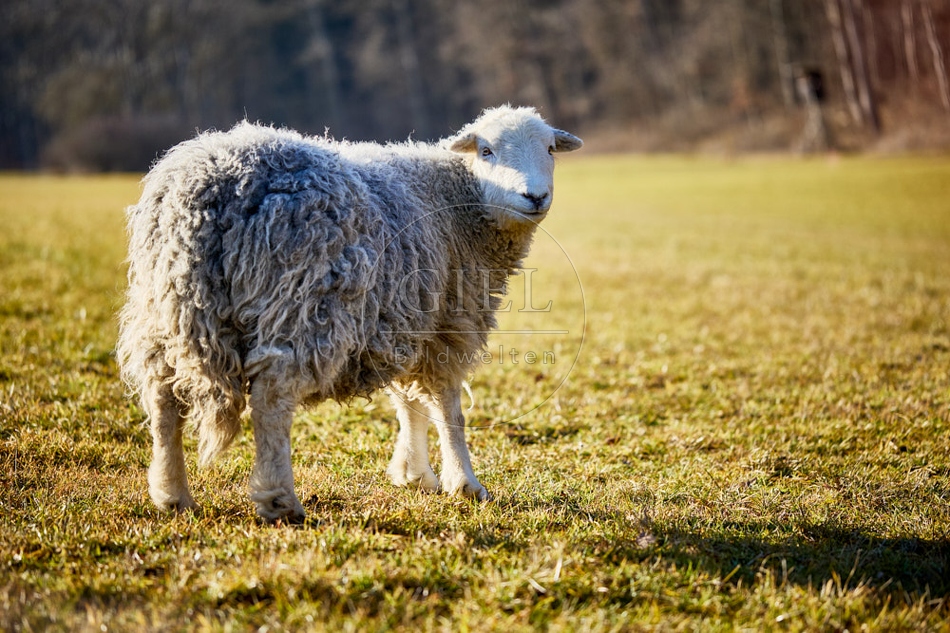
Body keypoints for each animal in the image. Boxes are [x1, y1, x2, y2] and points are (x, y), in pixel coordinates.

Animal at [117, 105, 583, 522]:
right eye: (486, 151)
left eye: (550, 149)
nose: (535, 196)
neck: (459, 199)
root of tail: (213, 185)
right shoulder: (448, 323)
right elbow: (448, 408)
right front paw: (464, 483)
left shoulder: (405, 319)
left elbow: (408, 403)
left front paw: (414, 474)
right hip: (299, 304)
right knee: (271, 398)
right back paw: (279, 501)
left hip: (169, 307)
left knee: (163, 396)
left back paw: (173, 495)